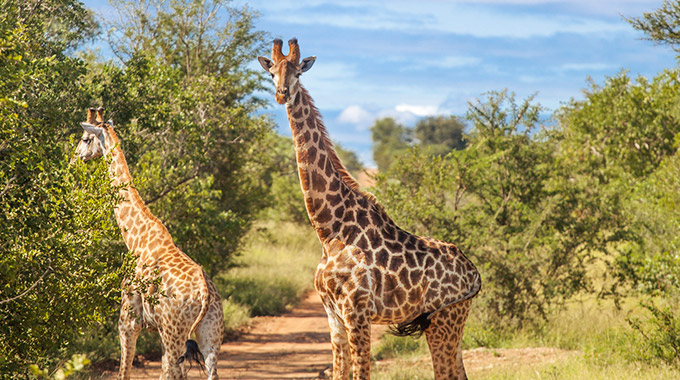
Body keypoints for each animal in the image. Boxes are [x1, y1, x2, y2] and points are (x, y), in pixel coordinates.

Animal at [74, 107, 223, 380]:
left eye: (85, 139)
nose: (77, 157)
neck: (135, 239)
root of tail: (205, 295)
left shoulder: (128, 319)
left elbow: (124, 370)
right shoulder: (157, 329)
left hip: (176, 332)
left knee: (176, 372)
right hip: (210, 334)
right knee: (209, 372)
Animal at [256, 39, 484, 380]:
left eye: (297, 72)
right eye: (272, 72)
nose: (282, 93)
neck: (329, 230)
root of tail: (474, 273)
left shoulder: (357, 313)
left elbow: (360, 373)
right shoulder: (333, 316)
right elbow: (339, 373)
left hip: (444, 321)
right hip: (453, 322)